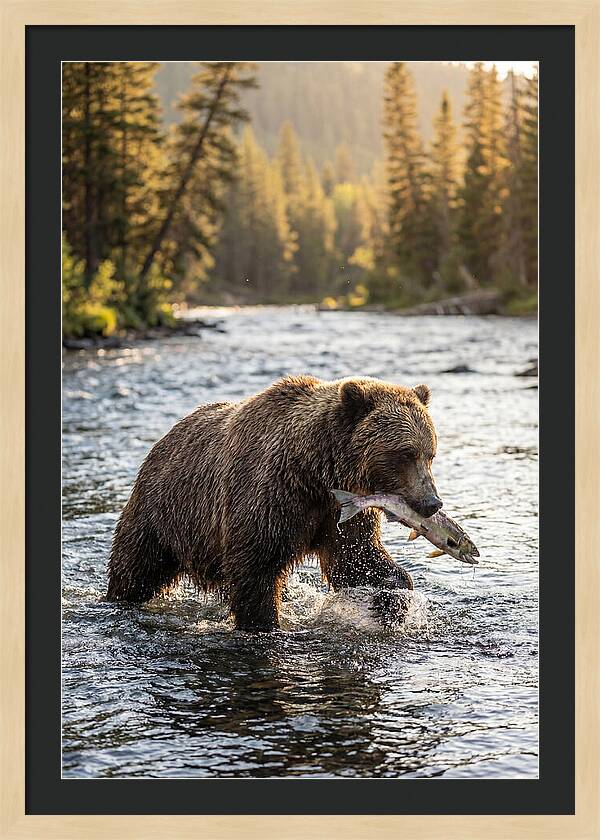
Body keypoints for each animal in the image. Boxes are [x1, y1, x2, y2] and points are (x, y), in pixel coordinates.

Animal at [106, 375, 443, 631]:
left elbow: (356, 557)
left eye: (430, 453)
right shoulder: (271, 495)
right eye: (404, 454)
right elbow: (255, 567)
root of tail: (164, 438)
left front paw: (393, 598)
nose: (432, 503)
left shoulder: (340, 510)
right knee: (136, 567)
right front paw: (263, 623)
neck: (316, 472)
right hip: (163, 512)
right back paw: (118, 599)